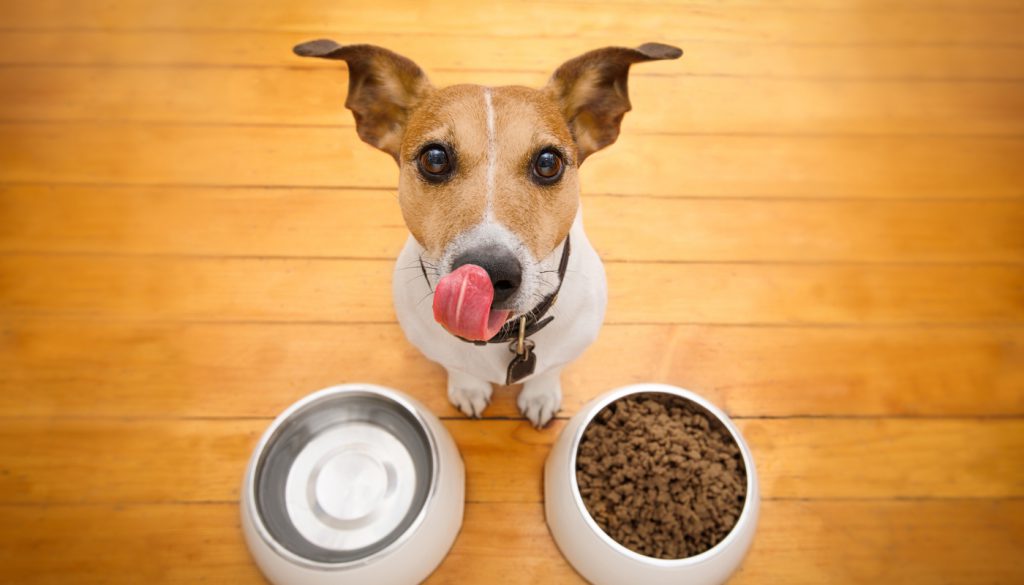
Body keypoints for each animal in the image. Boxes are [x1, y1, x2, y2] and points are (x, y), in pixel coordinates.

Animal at [294, 39, 679, 426]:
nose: (491, 272)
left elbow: (549, 369)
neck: (504, 333)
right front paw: (469, 389)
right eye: (434, 158)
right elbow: (458, 368)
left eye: (548, 162)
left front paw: (541, 395)